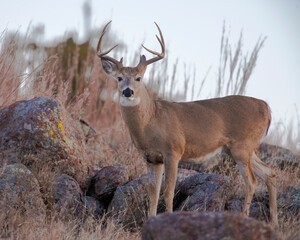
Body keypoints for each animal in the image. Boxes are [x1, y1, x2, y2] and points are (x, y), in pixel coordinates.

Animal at [97, 21, 278, 227]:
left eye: (138, 78)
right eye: (119, 78)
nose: (128, 91)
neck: (150, 121)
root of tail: (267, 108)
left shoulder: (173, 151)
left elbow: (168, 191)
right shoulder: (151, 158)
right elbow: (153, 193)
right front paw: (149, 221)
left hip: (242, 145)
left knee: (252, 181)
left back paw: (244, 218)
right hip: (243, 149)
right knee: (270, 173)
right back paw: (274, 222)